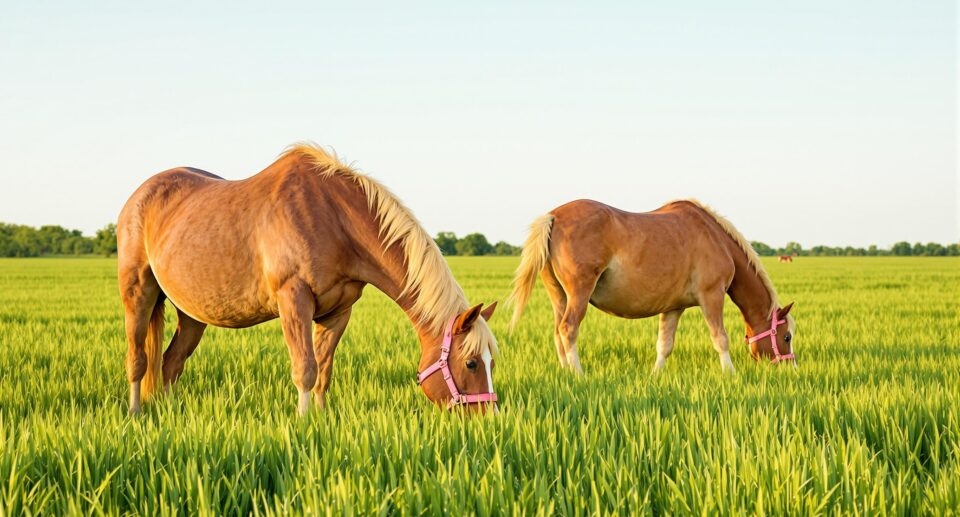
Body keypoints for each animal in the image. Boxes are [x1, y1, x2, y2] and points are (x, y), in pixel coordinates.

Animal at [117, 143, 499, 415]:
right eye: (471, 362)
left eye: (491, 361)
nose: (489, 419)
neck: (334, 217)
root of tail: (139, 196)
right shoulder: (294, 300)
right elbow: (305, 369)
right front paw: (302, 426)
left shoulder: (338, 312)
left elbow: (324, 372)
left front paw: (320, 420)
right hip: (138, 293)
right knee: (138, 359)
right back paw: (136, 414)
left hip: (192, 314)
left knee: (170, 363)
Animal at [508, 199, 795, 374]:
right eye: (787, 337)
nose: (789, 368)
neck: (715, 238)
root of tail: (553, 216)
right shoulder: (712, 296)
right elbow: (720, 339)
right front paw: (730, 373)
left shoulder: (673, 308)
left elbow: (664, 344)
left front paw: (656, 374)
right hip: (578, 293)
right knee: (568, 329)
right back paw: (579, 373)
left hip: (559, 296)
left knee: (558, 331)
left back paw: (566, 371)